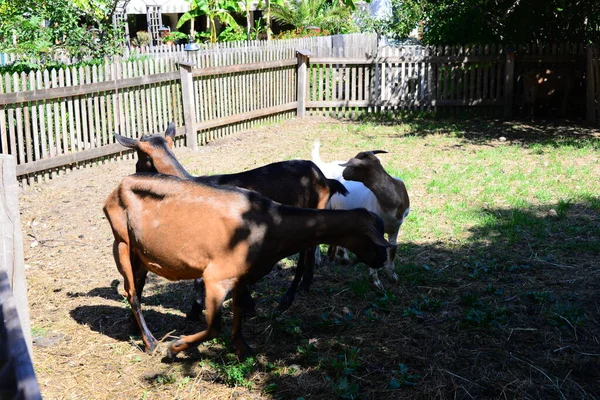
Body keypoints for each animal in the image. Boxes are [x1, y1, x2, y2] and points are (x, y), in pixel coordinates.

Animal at [105, 173, 392, 358]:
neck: (269, 224)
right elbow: (214, 327)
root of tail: (118, 187)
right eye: (373, 238)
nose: (381, 260)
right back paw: (152, 343)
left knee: (138, 287)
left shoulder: (240, 276)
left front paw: (244, 350)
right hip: (122, 242)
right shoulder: (216, 277)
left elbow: (240, 312)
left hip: (140, 252)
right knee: (132, 293)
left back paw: (136, 329)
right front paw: (174, 348)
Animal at [312, 141, 410, 290]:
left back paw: (343, 257)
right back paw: (317, 260)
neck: (390, 203)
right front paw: (376, 281)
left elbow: (392, 250)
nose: (343, 173)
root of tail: (324, 166)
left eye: (352, 166)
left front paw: (393, 277)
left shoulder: (396, 227)